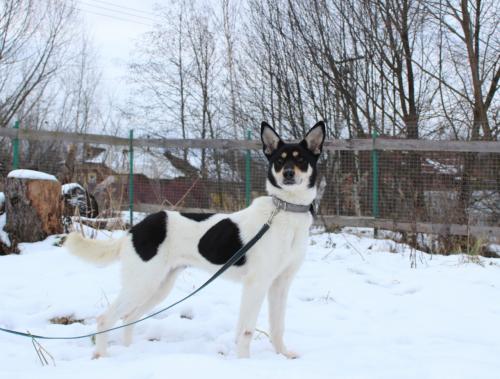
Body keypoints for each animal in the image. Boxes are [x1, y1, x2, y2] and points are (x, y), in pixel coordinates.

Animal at [64, 121, 326, 360]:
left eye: (300, 160)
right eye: (279, 161)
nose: (288, 174)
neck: (285, 211)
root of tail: (136, 228)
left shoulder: (280, 284)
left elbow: (277, 326)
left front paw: (283, 354)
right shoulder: (256, 283)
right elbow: (246, 330)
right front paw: (244, 362)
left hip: (159, 286)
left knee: (129, 317)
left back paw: (129, 351)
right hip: (142, 283)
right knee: (105, 318)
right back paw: (101, 356)